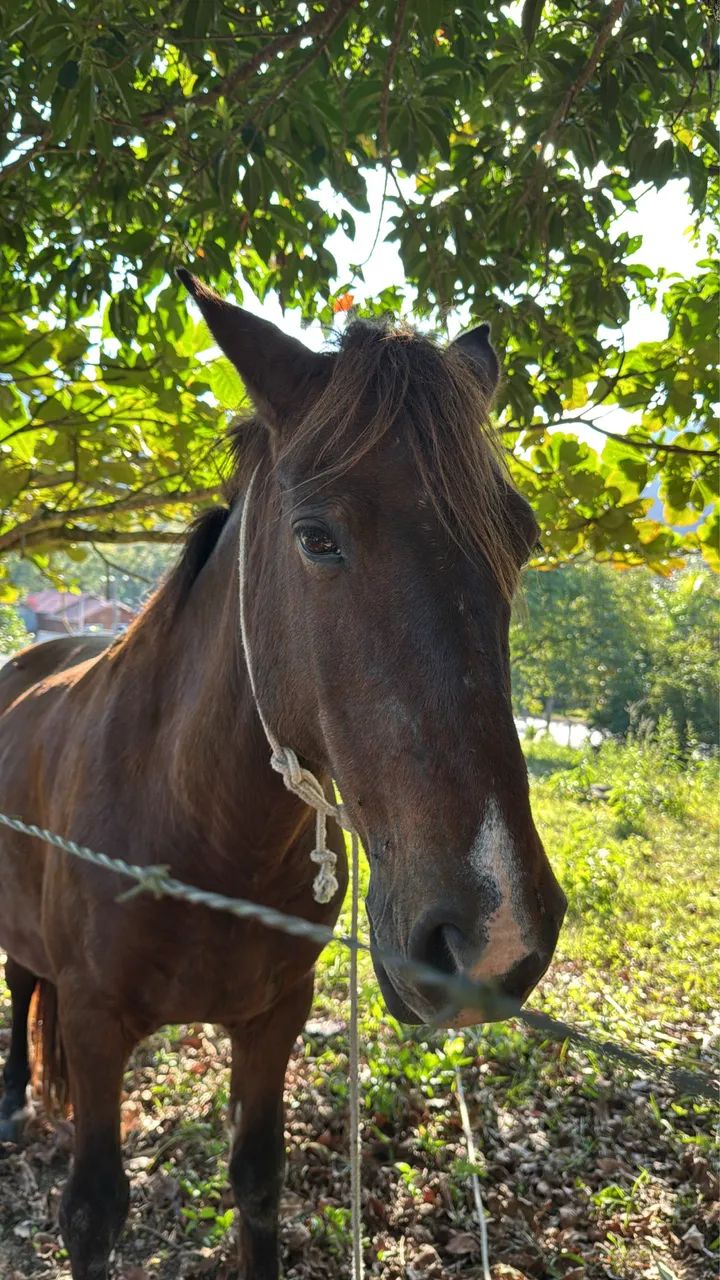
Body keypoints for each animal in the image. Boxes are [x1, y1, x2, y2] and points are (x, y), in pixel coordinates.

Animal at [0, 269, 566, 1280]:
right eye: (316, 538)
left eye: (522, 539)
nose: (495, 939)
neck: (193, 829)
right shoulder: (98, 1028)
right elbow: (93, 1214)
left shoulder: (274, 1022)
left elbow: (257, 1182)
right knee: (19, 985)